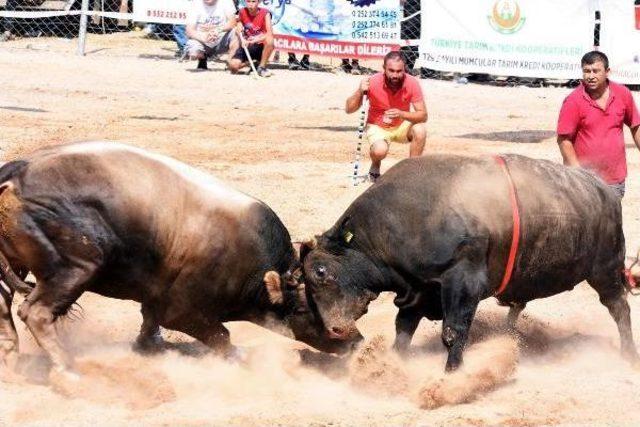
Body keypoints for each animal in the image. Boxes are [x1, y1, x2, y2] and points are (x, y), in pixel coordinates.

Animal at [294, 154, 640, 372]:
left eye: (321, 271)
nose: (336, 329)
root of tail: (604, 190)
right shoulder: (418, 290)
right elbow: (403, 329)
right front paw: (392, 364)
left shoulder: (462, 282)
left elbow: (452, 331)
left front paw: (452, 374)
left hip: (606, 270)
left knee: (619, 309)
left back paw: (628, 354)